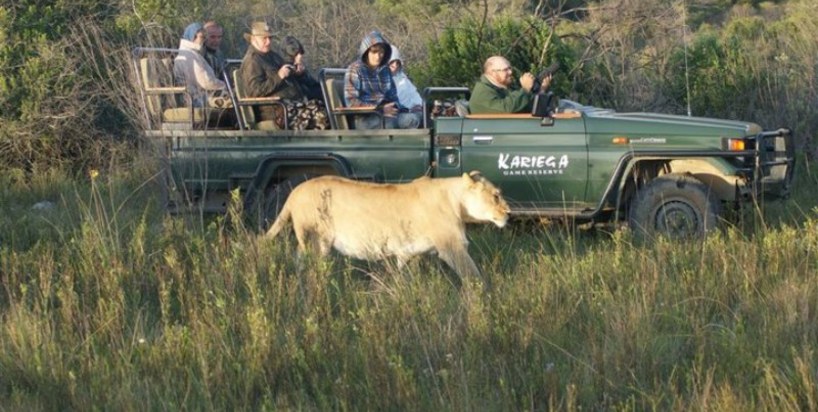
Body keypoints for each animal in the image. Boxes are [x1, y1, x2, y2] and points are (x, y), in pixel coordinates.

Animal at [265, 171, 510, 284]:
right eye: (496, 195)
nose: (508, 213)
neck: (456, 200)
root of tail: (294, 191)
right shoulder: (453, 247)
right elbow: (473, 276)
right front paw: (483, 301)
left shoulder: (410, 253)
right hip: (319, 242)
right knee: (312, 268)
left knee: (298, 260)